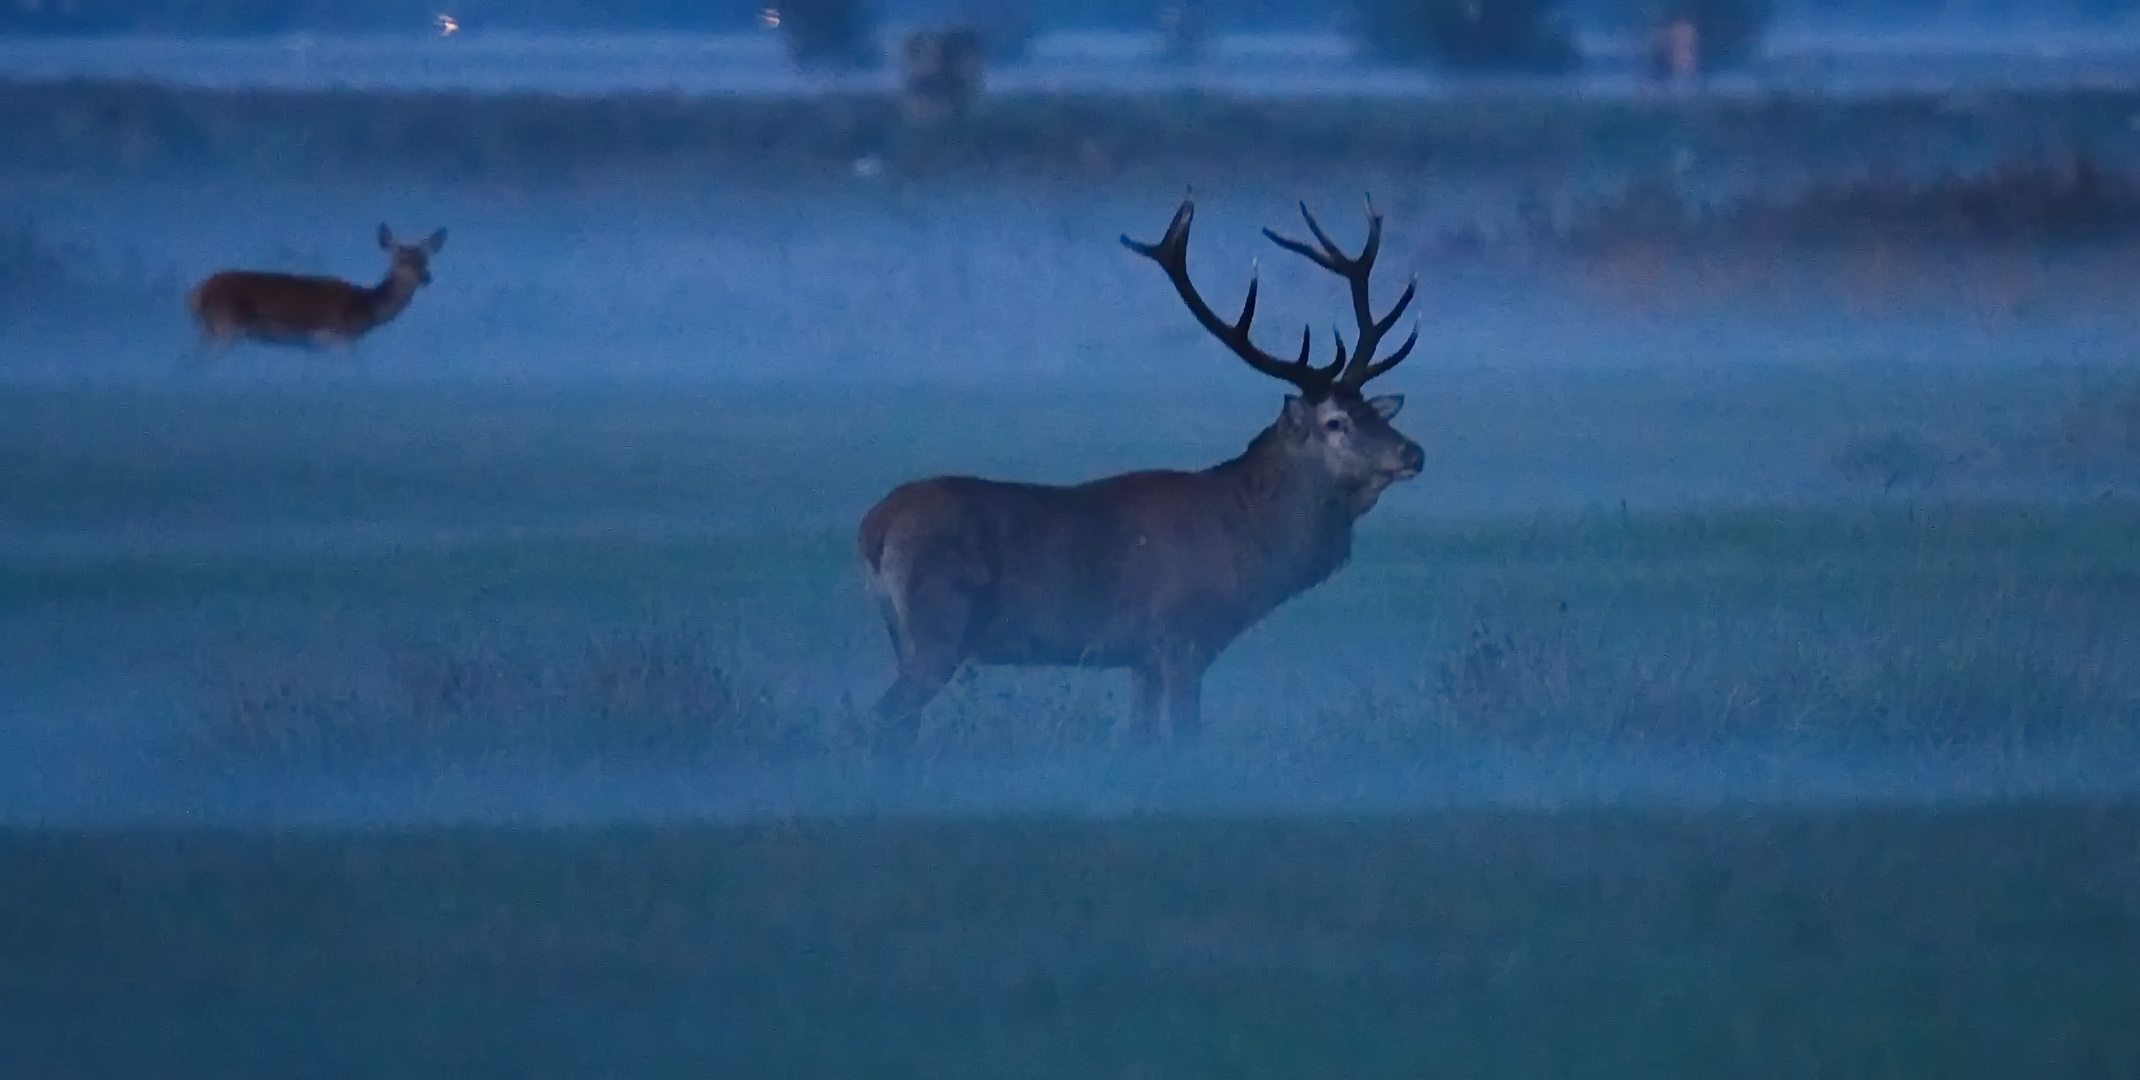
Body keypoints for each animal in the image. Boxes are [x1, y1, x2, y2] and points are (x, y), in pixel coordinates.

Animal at [188, 224, 447, 352]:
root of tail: (196, 293)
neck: (364, 309)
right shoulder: (331, 337)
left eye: (425, 259)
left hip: (211, 328)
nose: (426, 277)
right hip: (226, 325)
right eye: (401, 261)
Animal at [860, 195, 1429, 739]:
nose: (1413, 454)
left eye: (1374, 412)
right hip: (940, 625)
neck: (1248, 545)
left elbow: (1140, 737)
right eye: (1335, 421)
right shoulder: (1182, 636)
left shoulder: (1141, 658)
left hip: (905, 636)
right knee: (881, 720)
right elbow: (1184, 736)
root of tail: (873, 528)